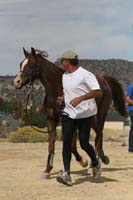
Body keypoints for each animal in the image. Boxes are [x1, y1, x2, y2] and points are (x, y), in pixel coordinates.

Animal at [13, 47, 127, 177]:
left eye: (32, 64)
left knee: (99, 135)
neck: (57, 88)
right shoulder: (51, 119)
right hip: (90, 119)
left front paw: (83, 161)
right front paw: (47, 170)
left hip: (101, 114)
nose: (16, 82)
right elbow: (51, 144)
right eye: (21, 64)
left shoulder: (68, 119)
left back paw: (97, 162)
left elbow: (72, 145)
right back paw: (101, 159)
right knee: (99, 133)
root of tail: (104, 80)